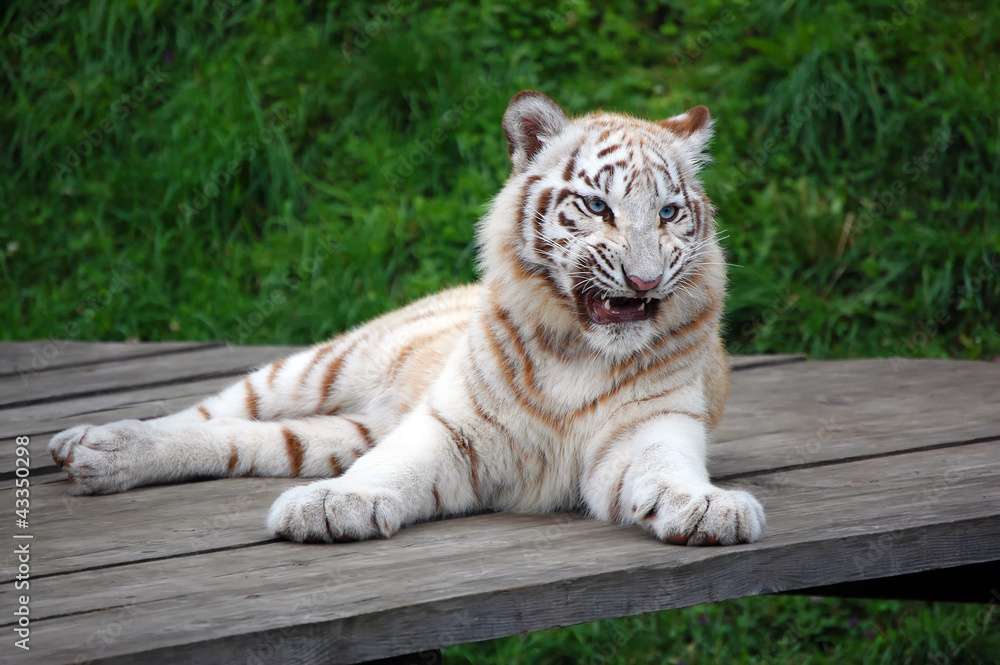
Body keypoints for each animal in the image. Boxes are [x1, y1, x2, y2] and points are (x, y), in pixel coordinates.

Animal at [48, 90, 765, 546]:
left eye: (669, 213)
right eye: (596, 207)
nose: (645, 281)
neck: (579, 351)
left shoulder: (650, 430)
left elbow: (666, 472)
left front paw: (710, 507)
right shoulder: (453, 426)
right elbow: (389, 469)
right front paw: (329, 505)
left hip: (339, 430)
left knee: (245, 438)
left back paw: (96, 457)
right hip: (323, 365)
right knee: (210, 410)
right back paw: (90, 442)